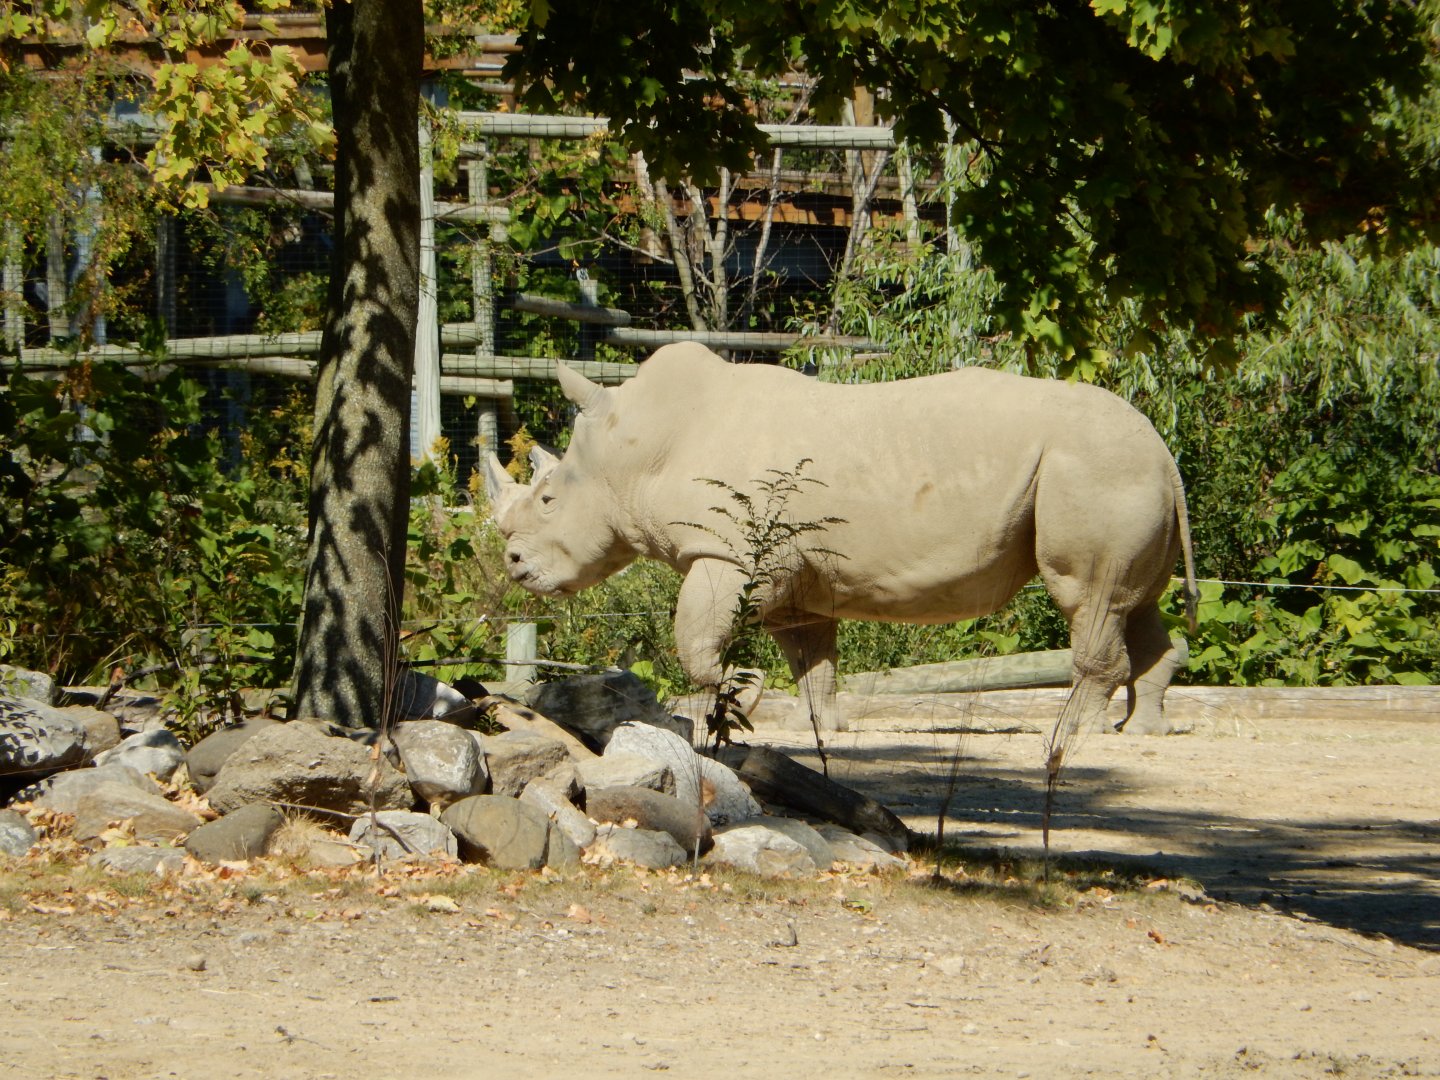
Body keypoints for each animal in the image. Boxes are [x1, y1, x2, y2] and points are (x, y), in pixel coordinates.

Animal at [485, 342, 1197, 737]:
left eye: (548, 502)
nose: (513, 564)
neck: (632, 452)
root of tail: (1164, 450)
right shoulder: (793, 577)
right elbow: (812, 661)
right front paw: (820, 726)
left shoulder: (727, 552)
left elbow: (694, 637)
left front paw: (740, 697)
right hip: (1122, 469)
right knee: (1133, 603)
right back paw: (1141, 729)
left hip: (1096, 468)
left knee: (1088, 597)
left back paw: (1075, 731)